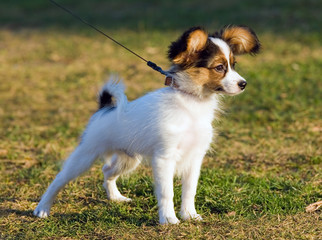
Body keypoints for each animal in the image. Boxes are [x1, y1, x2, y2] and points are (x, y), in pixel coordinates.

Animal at [33, 25, 260, 224]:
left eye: (234, 65)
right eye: (220, 68)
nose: (244, 84)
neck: (192, 105)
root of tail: (104, 109)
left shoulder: (195, 157)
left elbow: (189, 191)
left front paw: (189, 215)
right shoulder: (164, 158)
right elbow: (167, 192)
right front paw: (169, 220)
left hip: (129, 159)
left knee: (107, 170)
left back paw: (115, 197)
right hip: (85, 155)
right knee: (60, 179)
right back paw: (42, 208)